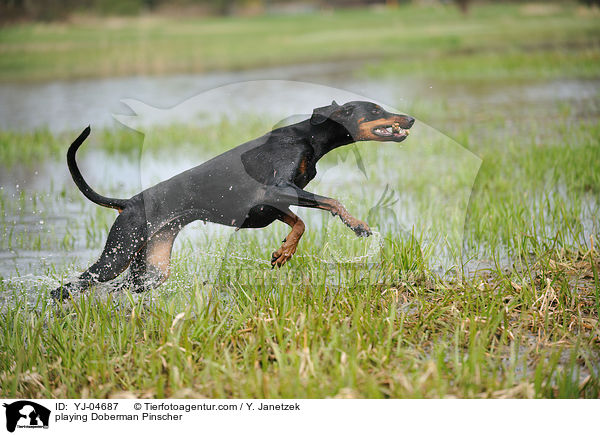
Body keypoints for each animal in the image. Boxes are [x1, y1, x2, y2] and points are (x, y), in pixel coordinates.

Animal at [52, 101, 412, 302]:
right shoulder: (276, 190)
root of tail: (127, 202)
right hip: (118, 254)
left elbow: (298, 223)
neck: (308, 136)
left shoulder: (270, 206)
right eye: (375, 110)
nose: (409, 119)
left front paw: (284, 252)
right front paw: (357, 225)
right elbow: (331, 203)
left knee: (118, 289)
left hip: (151, 269)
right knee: (67, 288)